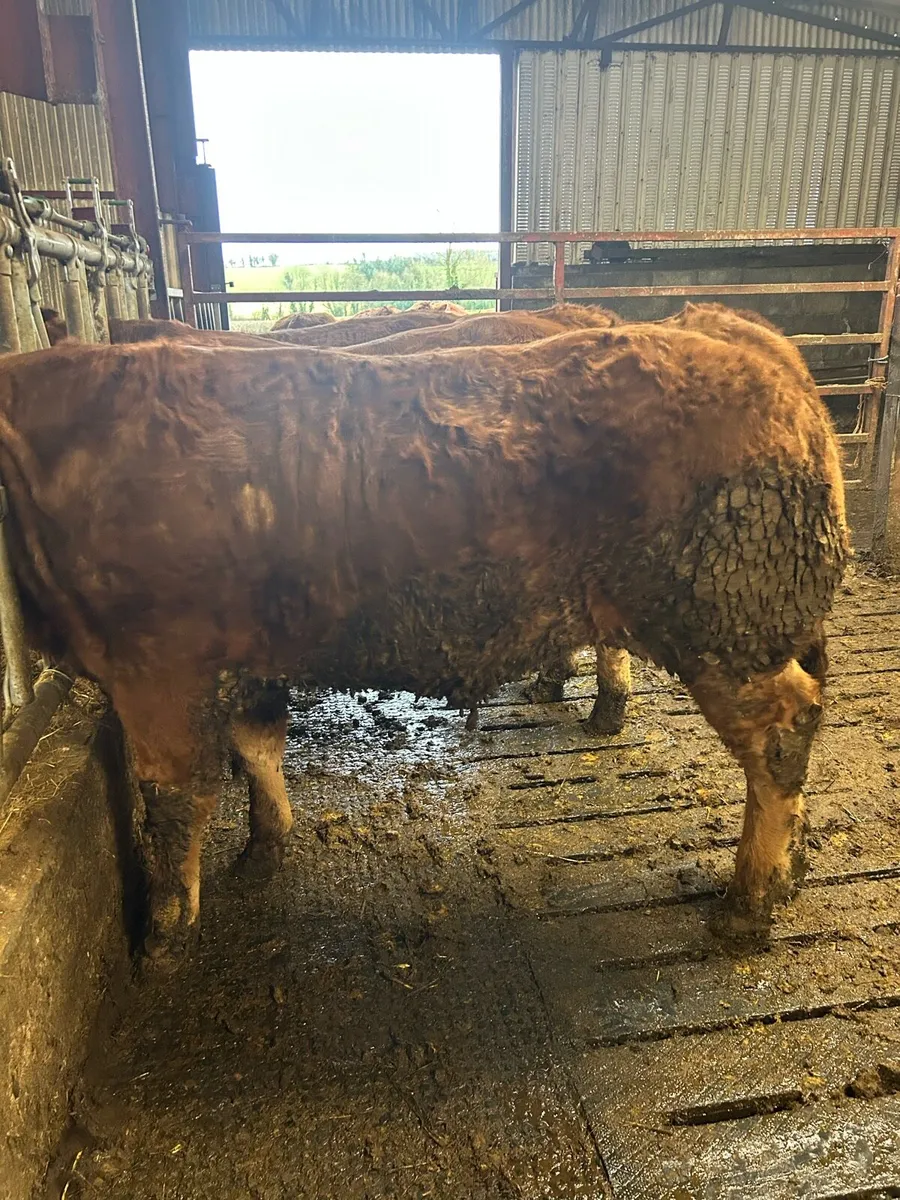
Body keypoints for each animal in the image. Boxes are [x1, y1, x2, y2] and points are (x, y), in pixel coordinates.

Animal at [0, 322, 847, 966]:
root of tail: (753, 345)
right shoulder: (249, 653)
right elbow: (256, 744)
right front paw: (264, 849)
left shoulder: (154, 661)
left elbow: (173, 800)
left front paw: (164, 936)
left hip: (726, 630)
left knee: (783, 732)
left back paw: (749, 900)